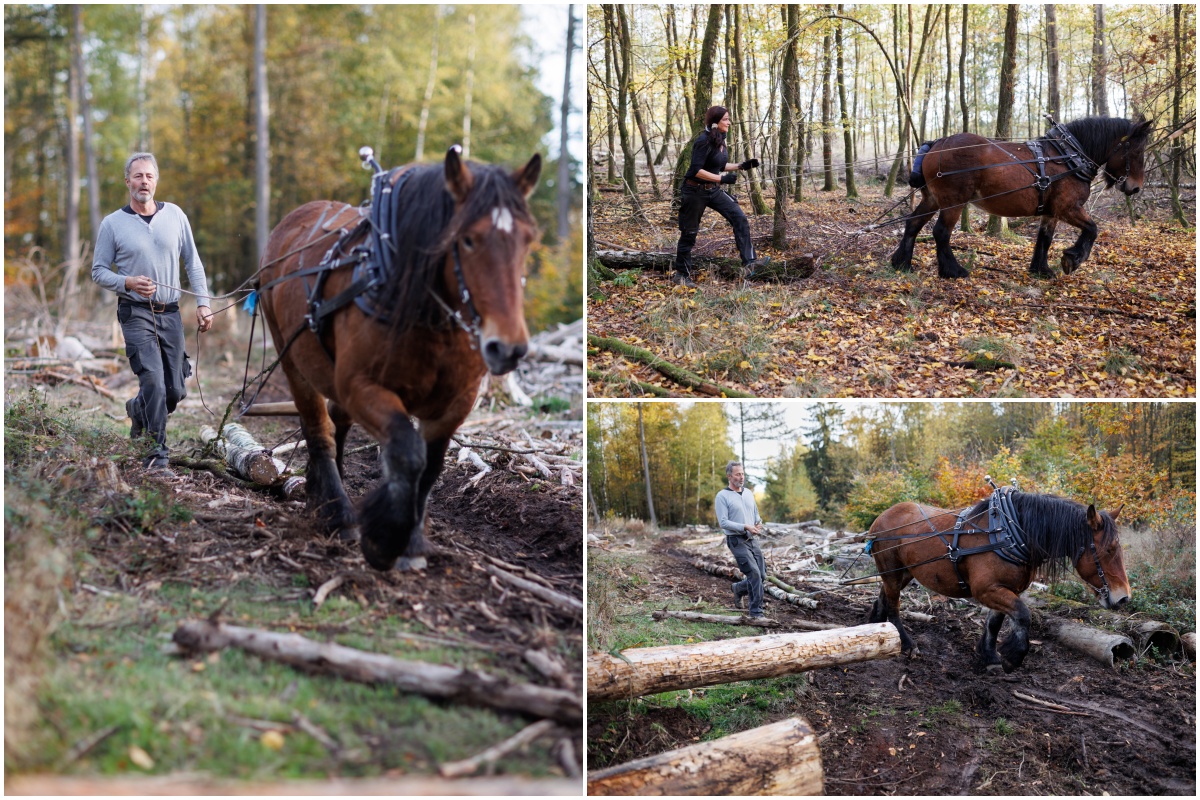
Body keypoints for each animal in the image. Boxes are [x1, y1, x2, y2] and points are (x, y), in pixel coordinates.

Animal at [265, 143, 547, 568]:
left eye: (527, 239)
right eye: (467, 240)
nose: (508, 347)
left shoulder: (456, 403)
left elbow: (430, 467)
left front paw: (411, 538)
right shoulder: (361, 385)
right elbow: (407, 452)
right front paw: (385, 538)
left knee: (336, 420)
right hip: (291, 358)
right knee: (318, 427)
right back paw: (336, 510)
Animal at [868, 491, 1128, 671]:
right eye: (1109, 549)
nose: (1124, 597)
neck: (1010, 533)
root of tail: (881, 518)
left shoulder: (1005, 589)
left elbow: (995, 622)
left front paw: (990, 656)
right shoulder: (986, 590)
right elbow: (1023, 615)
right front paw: (1013, 658)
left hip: (904, 573)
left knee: (883, 597)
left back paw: (877, 627)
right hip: (892, 572)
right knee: (893, 606)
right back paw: (906, 643)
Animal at [892, 115, 1152, 278]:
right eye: (1136, 151)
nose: (1136, 188)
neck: (1069, 156)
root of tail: (939, 142)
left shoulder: (1051, 212)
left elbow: (1045, 239)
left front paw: (1041, 270)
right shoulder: (1068, 208)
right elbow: (1092, 229)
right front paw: (1072, 258)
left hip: (932, 199)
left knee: (913, 223)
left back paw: (901, 263)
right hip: (953, 202)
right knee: (941, 233)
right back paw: (954, 271)